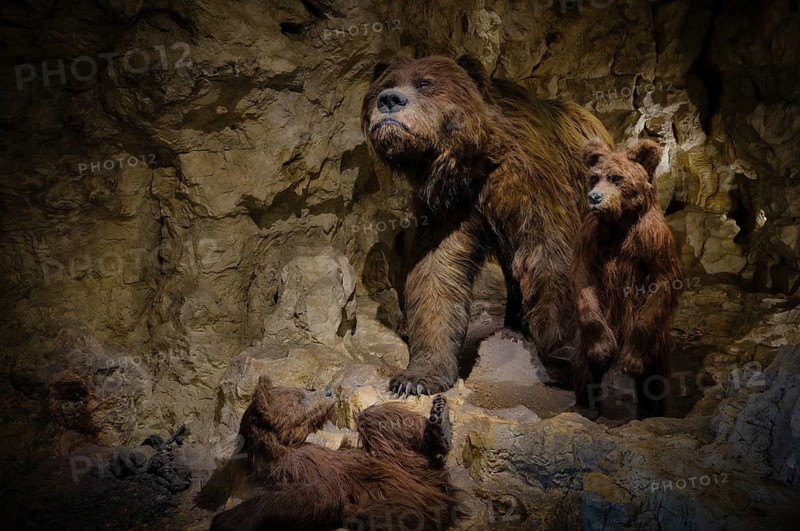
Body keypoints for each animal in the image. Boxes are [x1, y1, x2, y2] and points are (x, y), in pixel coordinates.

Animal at [208, 376, 457, 531]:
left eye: (303, 390)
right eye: (299, 398)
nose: (327, 391)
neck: (284, 446)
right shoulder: (295, 466)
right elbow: (314, 494)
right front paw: (228, 519)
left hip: (400, 463)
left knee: (373, 417)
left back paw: (440, 421)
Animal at [361, 54, 613, 395]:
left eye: (425, 83)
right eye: (385, 84)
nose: (389, 100)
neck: (475, 164)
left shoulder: (528, 185)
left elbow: (549, 254)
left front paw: (566, 356)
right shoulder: (449, 207)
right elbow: (436, 272)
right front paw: (418, 377)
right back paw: (513, 327)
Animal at [571, 138, 684, 419]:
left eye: (617, 178)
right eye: (594, 177)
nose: (595, 197)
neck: (620, 223)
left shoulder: (653, 239)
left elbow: (666, 279)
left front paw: (630, 361)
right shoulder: (591, 237)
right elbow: (583, 277)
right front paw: (603, 351)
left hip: (654, 337)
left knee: (655, 375)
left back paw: (652, 411)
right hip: (604, 320)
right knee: (584, 359)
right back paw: (585, 405)